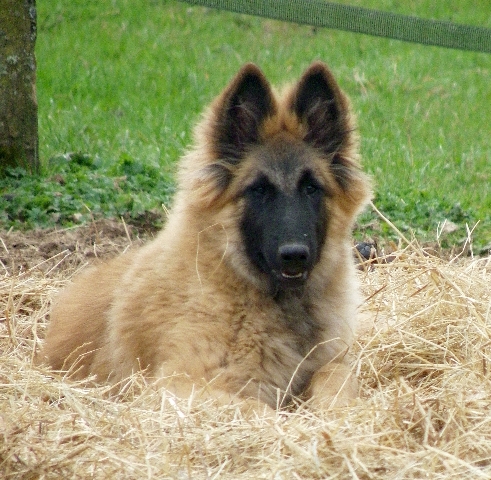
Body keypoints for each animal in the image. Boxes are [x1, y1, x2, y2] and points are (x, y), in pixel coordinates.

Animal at [41, 62, 371, 411]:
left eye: (311, 188)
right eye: (258, 190)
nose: (294, 254)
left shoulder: (333, 361)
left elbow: (336, 378)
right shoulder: (180, 384)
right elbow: (259, 409)